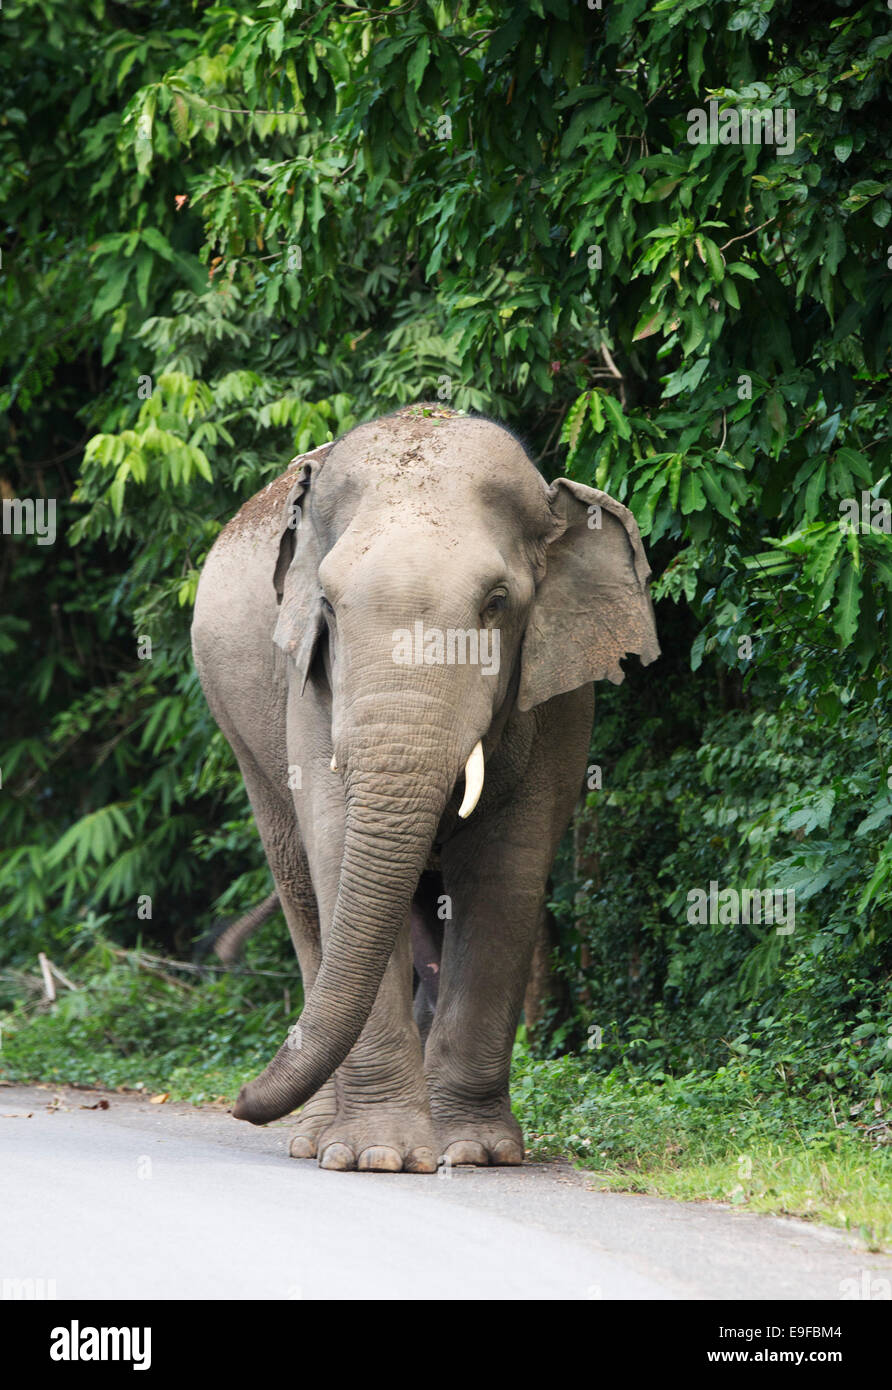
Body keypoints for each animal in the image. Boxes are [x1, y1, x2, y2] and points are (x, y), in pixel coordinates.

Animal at [191, 404, 659, 1173]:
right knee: (301, 885)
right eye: (329, 605)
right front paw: (376, 1158)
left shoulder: (561, 691)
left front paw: (473, 1152)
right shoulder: (309, 683)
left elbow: (506, 871)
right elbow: (334, 848)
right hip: (239, 731)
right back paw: (313, 1138)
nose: (238, 1101)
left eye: (497, 603)